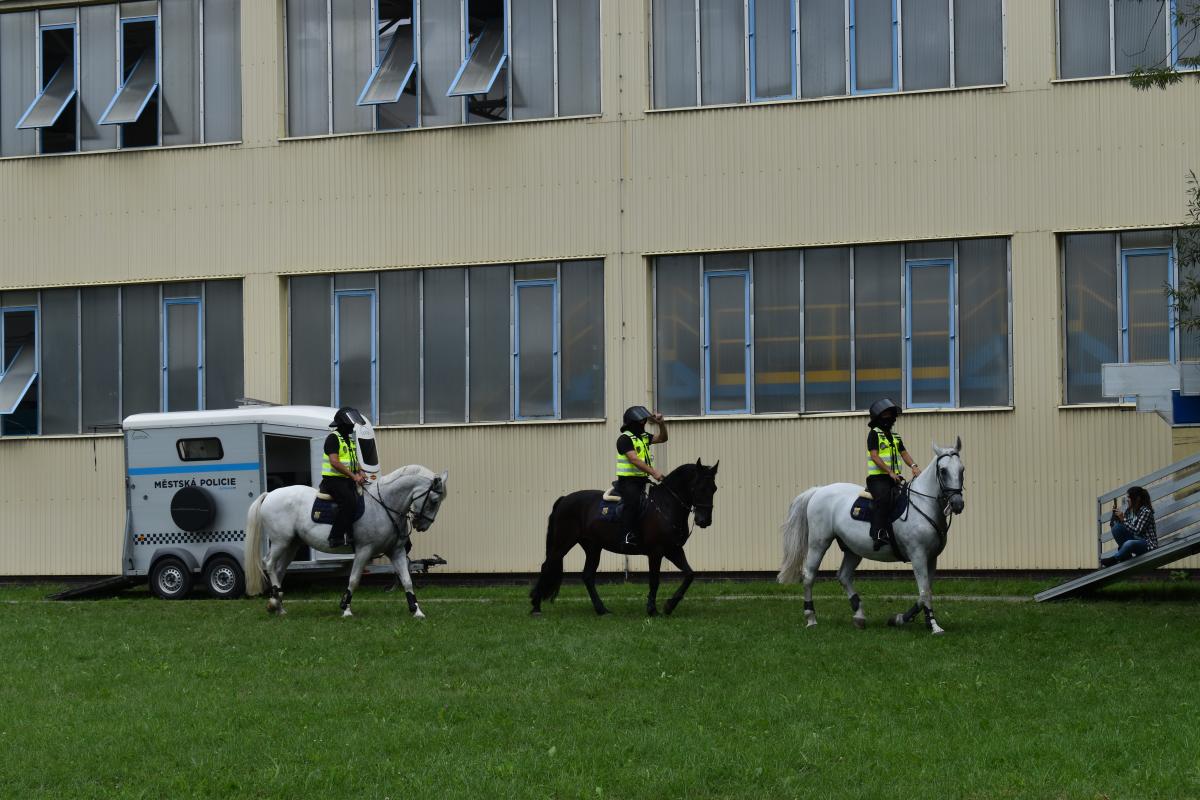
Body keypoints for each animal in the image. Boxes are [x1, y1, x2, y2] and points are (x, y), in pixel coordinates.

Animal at [244, 462, 451, 618]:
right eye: (434, 500)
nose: (422, 525)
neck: (384, 505)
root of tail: (270, 494)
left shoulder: (396, 551)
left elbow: (407, 580)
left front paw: (416, 610)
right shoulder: (364, 550)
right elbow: (354, 579)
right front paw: (346, 609)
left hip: (292, 545)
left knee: (279, 569)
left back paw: (277, 605)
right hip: (281, 541)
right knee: (269, 564)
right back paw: (275, 600)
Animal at [530, 460, 715, 618]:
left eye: (714, 489)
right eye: (699, 488)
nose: (704, 520)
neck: (665, 506)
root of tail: (564, 499)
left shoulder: (673, 549)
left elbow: (690, 574)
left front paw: (669, 606)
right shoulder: (656, 552)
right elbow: (654, 580)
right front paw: (652, 610)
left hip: (593, 547)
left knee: (587, 576)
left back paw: (602, 610)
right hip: (563, 543)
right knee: (547, 566)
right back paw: (536, 607)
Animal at [777, 441, 964, 633]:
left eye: (962, 469)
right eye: (943, 470)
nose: (957, 503)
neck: (923, 504)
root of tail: (819, 491)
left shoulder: (932, 558)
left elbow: (925, 591)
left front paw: (899, 619)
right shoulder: (918, 555)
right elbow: (925, 591)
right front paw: (934, 625)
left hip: (852, 548)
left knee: (843, 576)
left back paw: (859, 616)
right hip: (818, 543)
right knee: (809, 576)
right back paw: (811, 618)